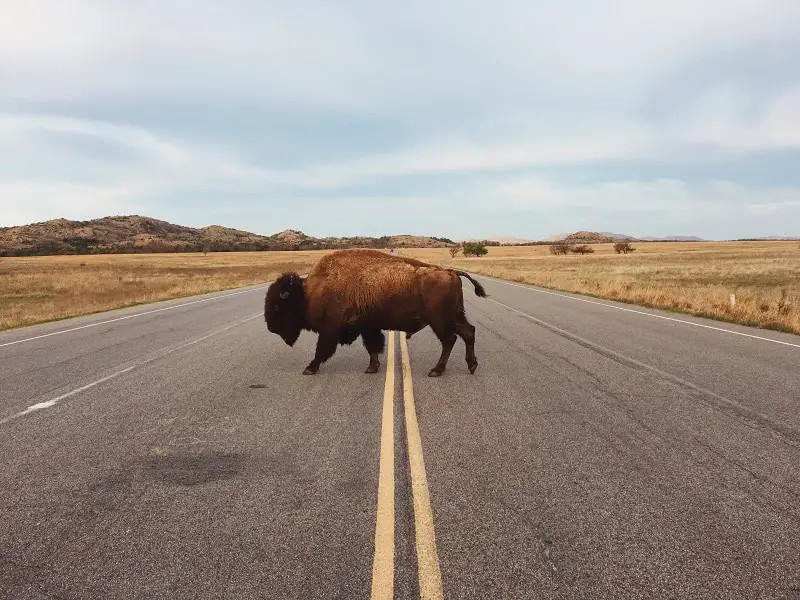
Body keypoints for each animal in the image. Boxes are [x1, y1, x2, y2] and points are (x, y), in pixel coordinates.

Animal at [266, 247, 484, 378]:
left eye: (277, 306)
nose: (271, 328)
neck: (311, 291)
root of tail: (451, 272)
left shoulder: (330, 329)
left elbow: (322, 350)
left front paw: (309, 368)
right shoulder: (366, 327)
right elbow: (372, 347)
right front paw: (372, 367)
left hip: (439, 321)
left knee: (449, 340)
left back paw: (436, 371)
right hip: (455, 316)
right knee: (468, 332)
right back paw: (471, 365)